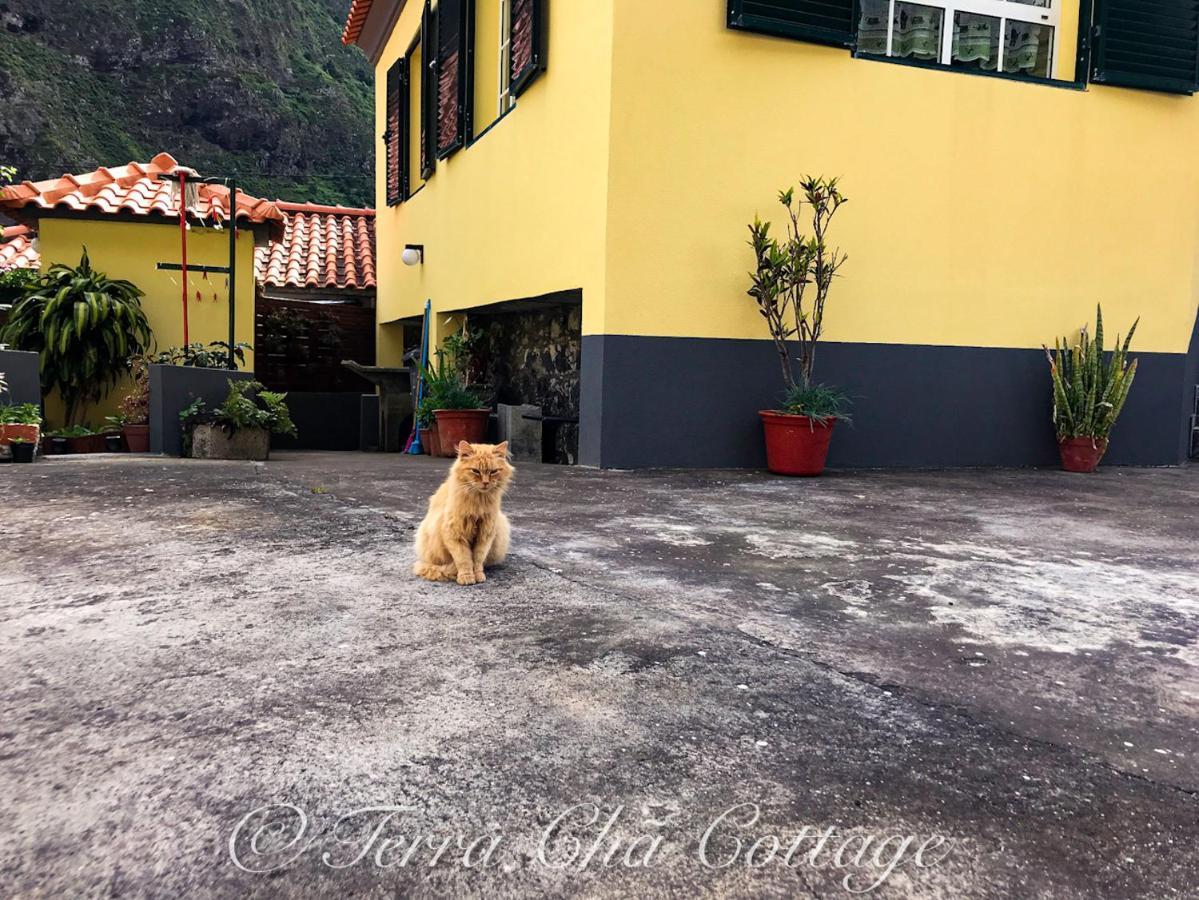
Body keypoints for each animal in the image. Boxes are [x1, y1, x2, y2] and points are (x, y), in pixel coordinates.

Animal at [414, 441, 513, 584]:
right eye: (475, 471)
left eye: (493, 471)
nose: (485, 482)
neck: (478, 502)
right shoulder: (455, 533)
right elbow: (464, 559)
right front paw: (466, 577)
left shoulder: (485, 534)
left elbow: (477, 559)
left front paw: (478, 575)